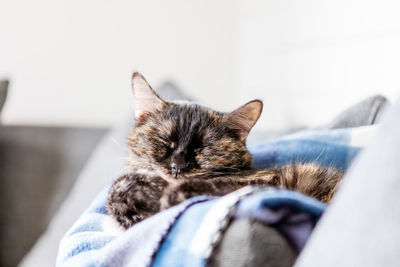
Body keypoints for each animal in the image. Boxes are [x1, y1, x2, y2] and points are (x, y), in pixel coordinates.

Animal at [107, 73, 344, 230]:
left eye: (203, 148)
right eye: (165, 141)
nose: (177, 166)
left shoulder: (266, 181)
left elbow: (218, 186)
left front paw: (166, 195)